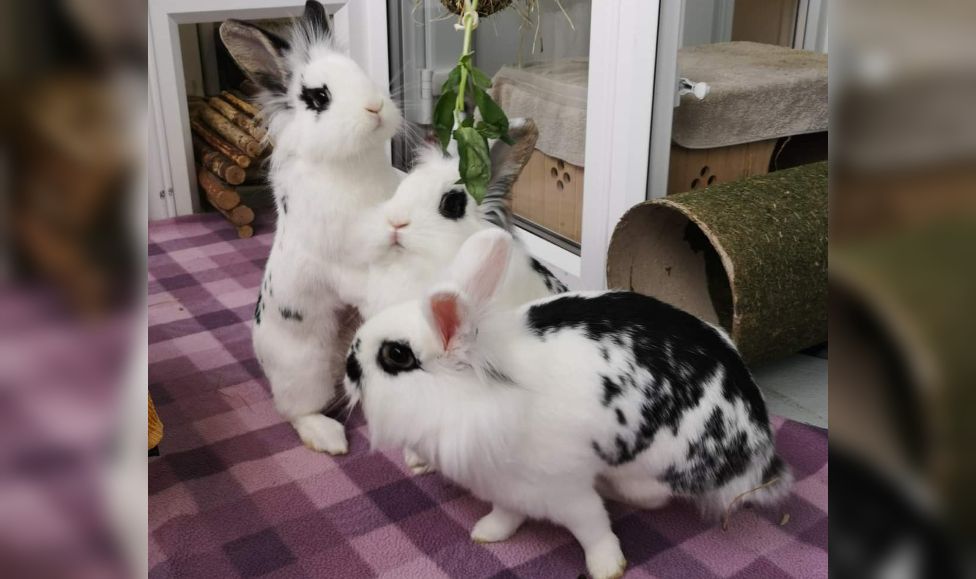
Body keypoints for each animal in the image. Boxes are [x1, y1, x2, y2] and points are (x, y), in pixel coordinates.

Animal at [221, 1, 404, 458]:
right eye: (319, 97)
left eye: (361, 73)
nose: (375, 107)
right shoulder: (338, 256)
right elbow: (361, 275)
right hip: (305, 370)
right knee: (295, 412)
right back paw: (329, 437)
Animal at [344, 230, 792, 579]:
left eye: (396, 355)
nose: (348, 367)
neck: (485, 392)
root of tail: (761, 447)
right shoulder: (506, 487)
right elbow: (506, 514)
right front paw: (487, 533)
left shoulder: (564, 489)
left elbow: (593, 527)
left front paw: (607, 566)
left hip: (654, 465)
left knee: (651, 495)